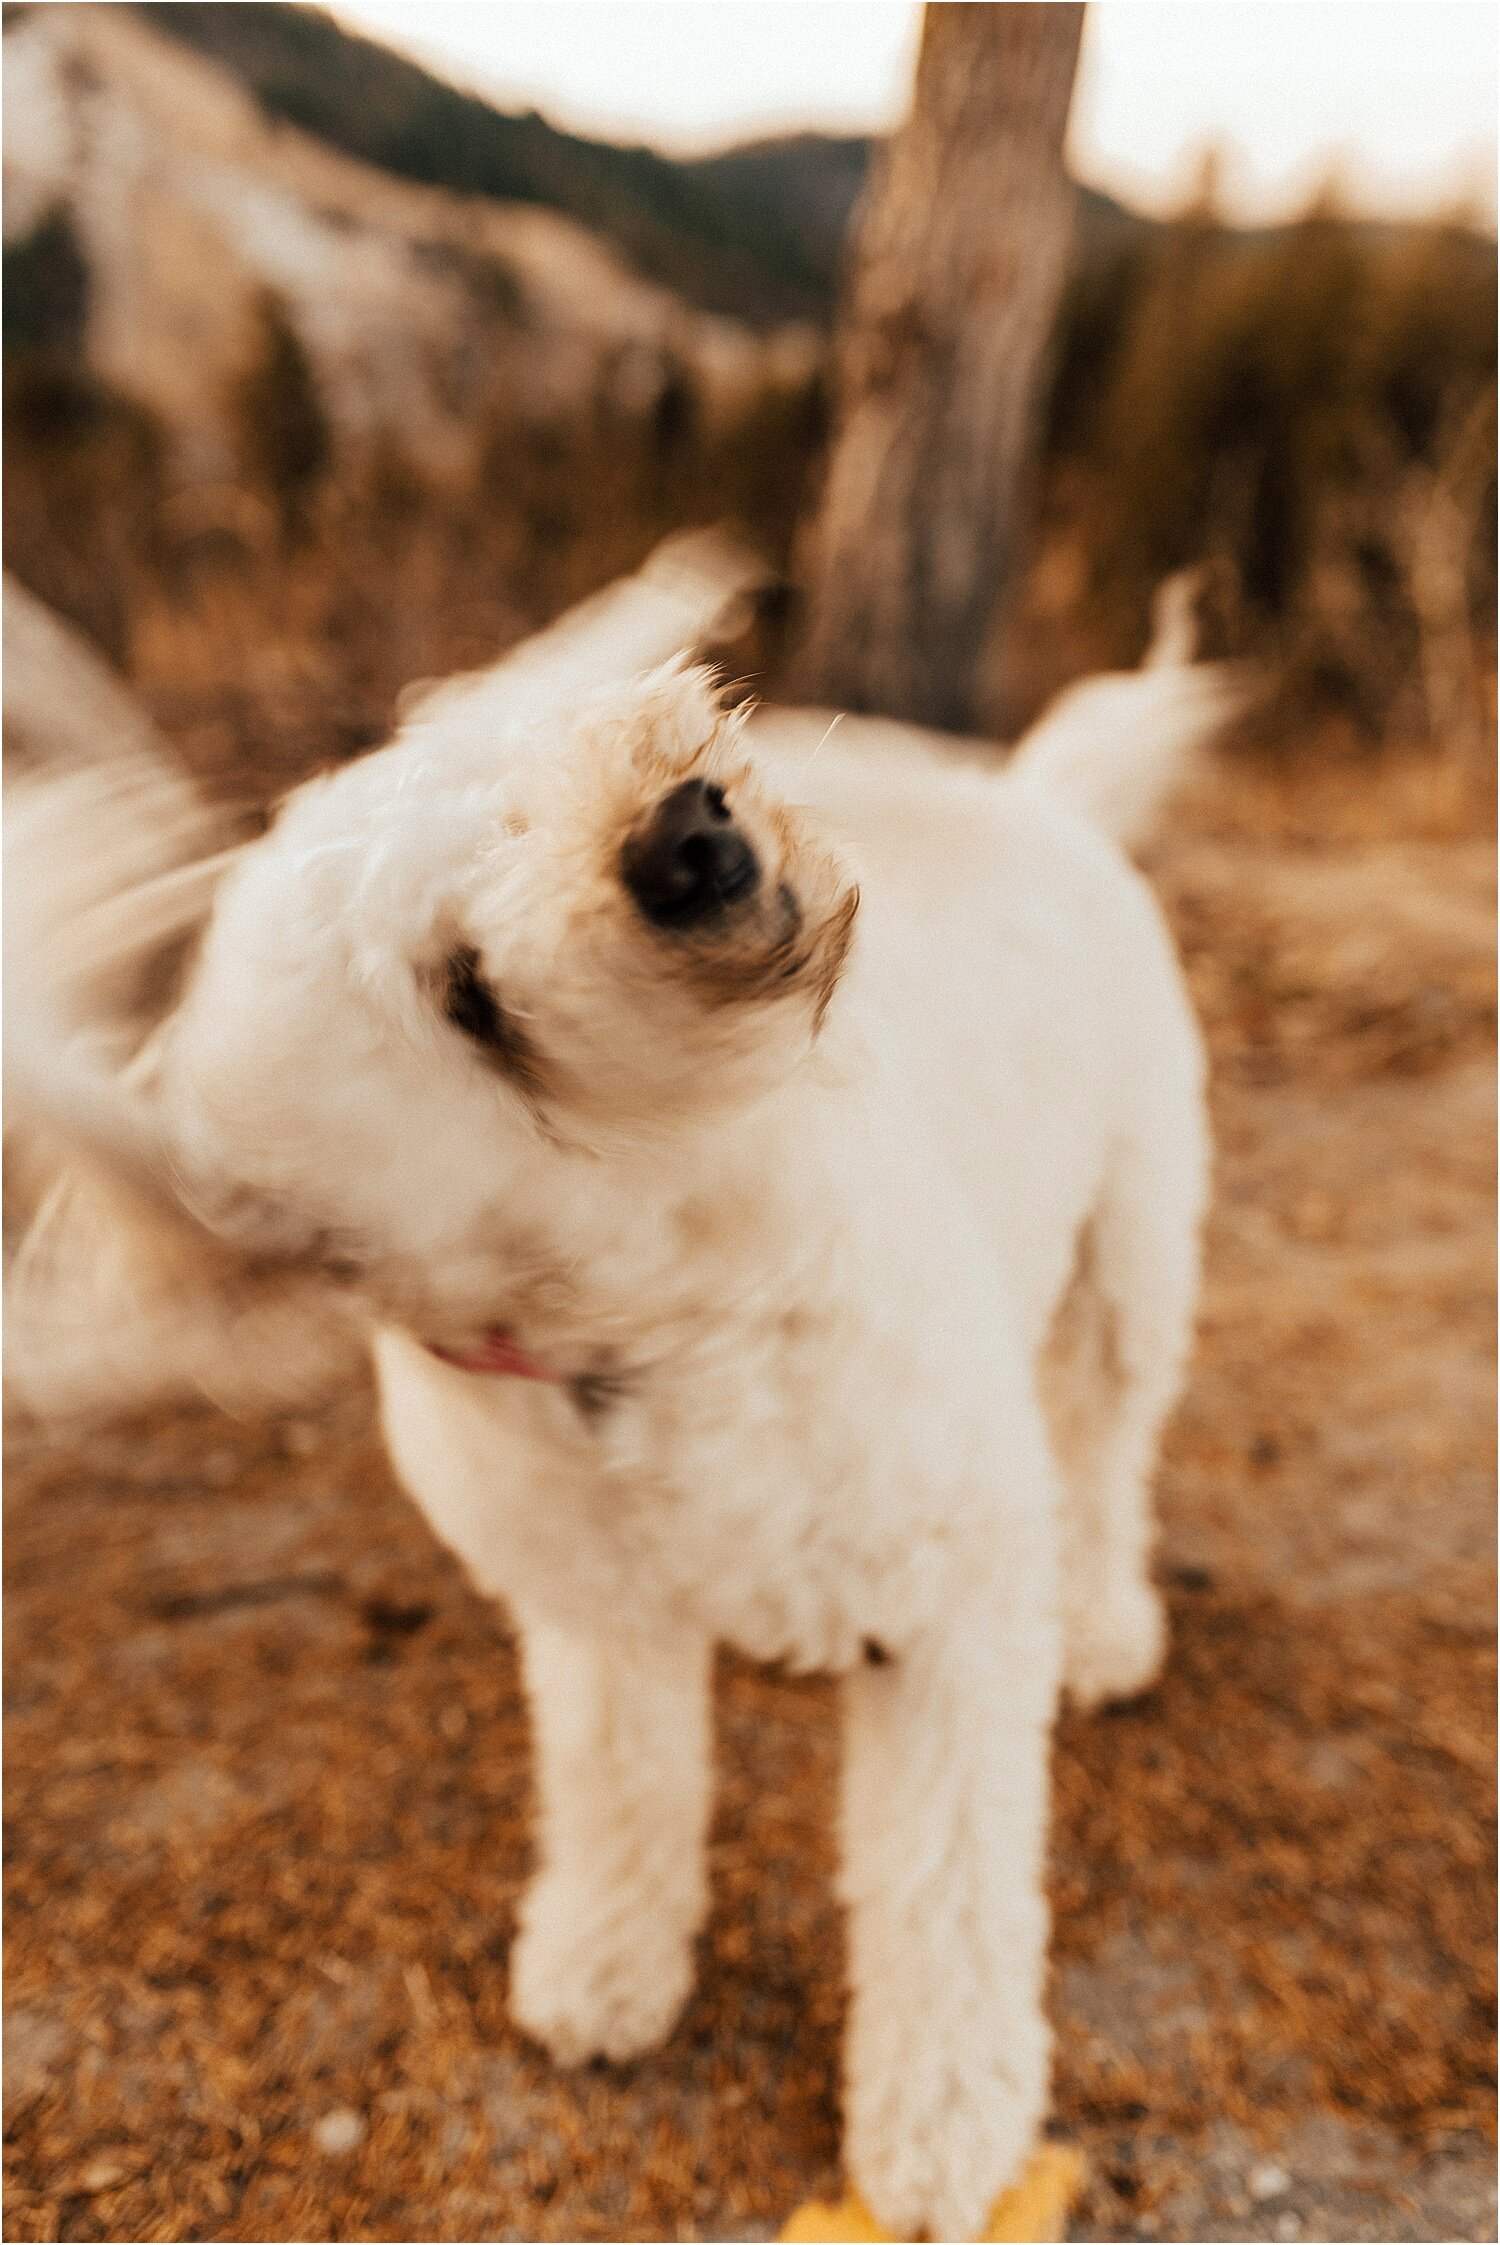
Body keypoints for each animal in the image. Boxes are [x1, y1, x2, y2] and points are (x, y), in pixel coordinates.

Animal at [5, 547, 1230, 2245]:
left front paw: (943, 2129)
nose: (690, 831)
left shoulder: (949, 1609)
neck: (657, 1323)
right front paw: (604, 1966)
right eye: (470, 1003)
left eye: (509, 797)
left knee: (1105, 1445)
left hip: (1129, 1250)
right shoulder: (591, 1610)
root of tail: (1039, 797)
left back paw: (1104, 1624)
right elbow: (620, 1787)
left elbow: (944, 1891)